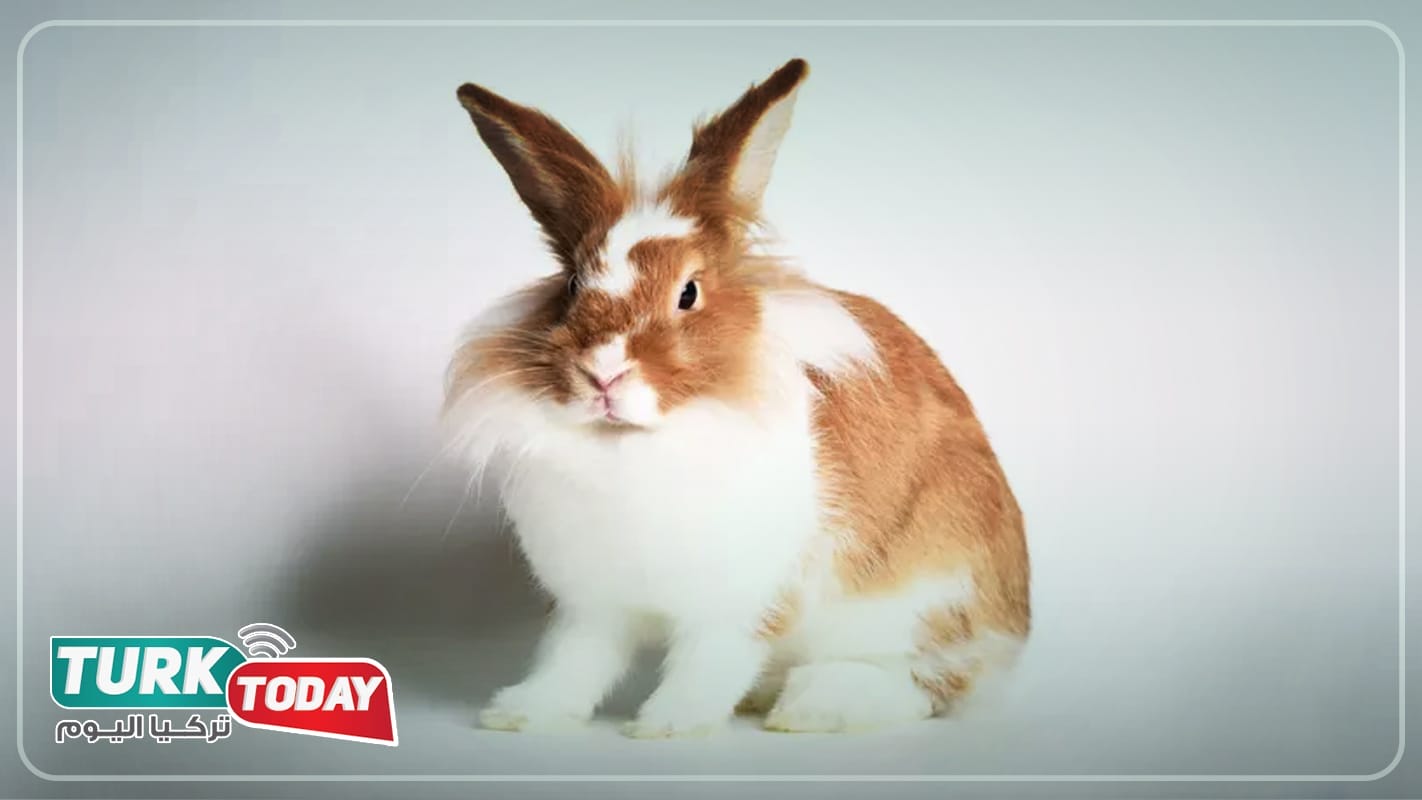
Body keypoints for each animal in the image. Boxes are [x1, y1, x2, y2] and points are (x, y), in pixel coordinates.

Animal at [444, 58, 1030, 738]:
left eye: (689, 293)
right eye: (569, 286)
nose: (603, 375)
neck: (634, 447)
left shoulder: (742, 603)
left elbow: (711, 663)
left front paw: (667, 723)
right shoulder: (593, 605)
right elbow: (574, 662)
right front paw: (521, 712)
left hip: (927, 601)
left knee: (926, 684)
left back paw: (814, 705)